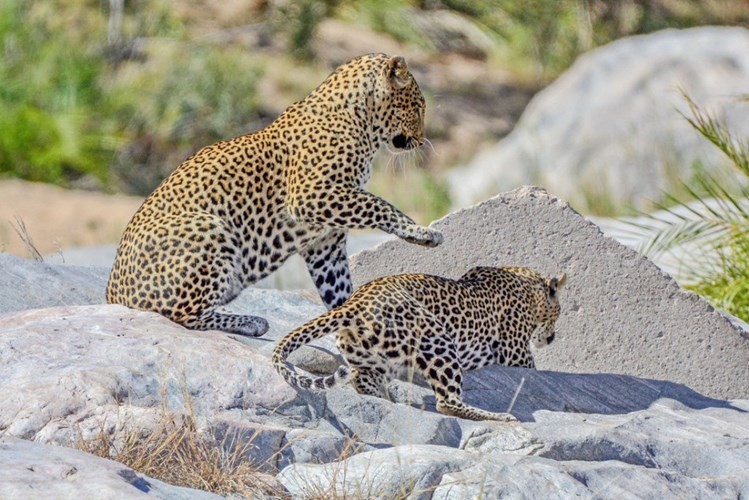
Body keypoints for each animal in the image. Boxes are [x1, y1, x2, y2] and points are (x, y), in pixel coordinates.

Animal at [108, 53, 442, 336]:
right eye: (417, 107)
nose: (421, 140)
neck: (362, 124)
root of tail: (112, 295)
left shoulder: (324, 242)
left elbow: (340, 288)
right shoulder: (312, 195)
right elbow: (379, 204)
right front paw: (421, 232)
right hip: (208, 227)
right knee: (182, 315)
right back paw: (250, 322)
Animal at [272, 266, 564, 422]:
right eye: (559, 313)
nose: (551, 338)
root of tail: (354, 302)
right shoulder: (517, 354)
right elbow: (532, 367)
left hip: (376, 359)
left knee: (362, 380)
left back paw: (387, 400)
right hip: (437, 339)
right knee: (446, 402)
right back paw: (501, 416)